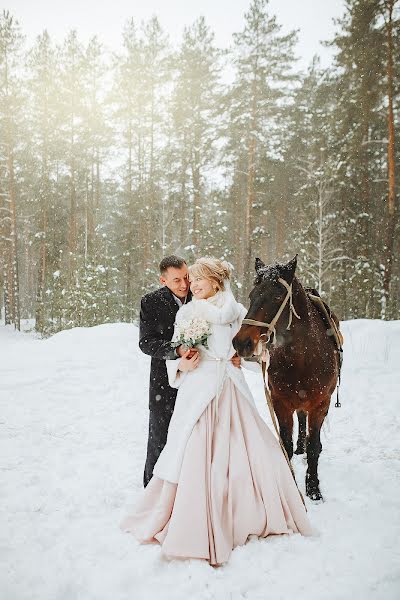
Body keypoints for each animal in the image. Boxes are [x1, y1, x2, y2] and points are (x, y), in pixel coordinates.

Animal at [233, 254, 342, 502]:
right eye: (252, 295)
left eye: (277, 297)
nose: (241, 342)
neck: (302, 358)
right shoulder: (280, 402)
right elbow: (286, 444)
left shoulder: (320, 404)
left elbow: (314, 446)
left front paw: (313, 488)